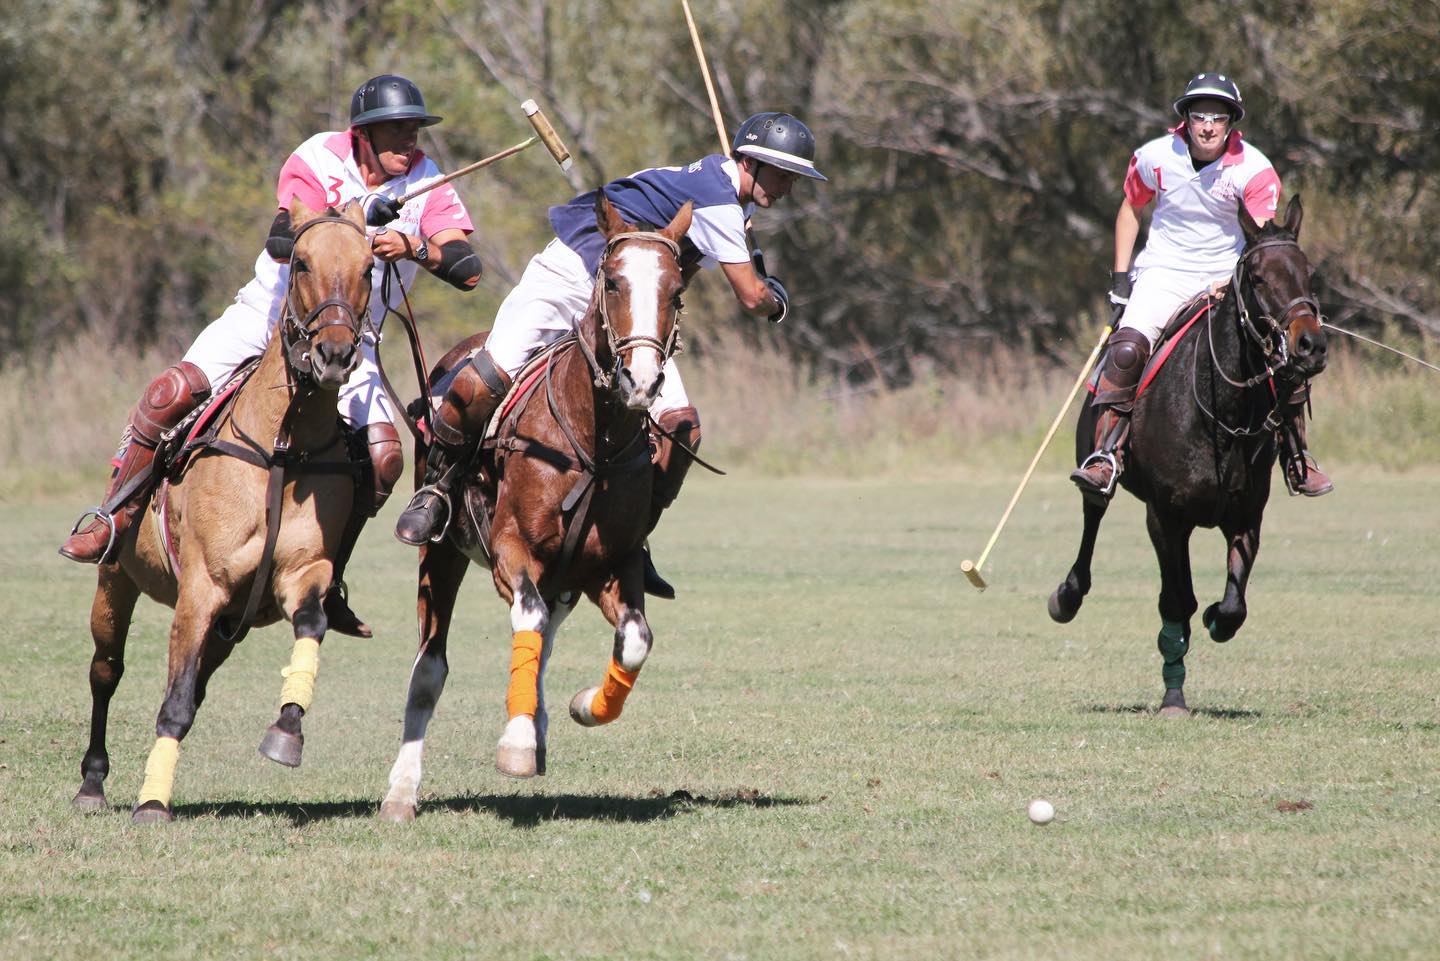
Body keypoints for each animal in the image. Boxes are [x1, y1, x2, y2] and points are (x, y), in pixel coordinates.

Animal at [70, 198, 374, 824]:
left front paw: (287, 730)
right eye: (301, 264)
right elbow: (173, 701)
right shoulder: (201, 588)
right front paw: (152, 802)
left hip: (228, 625)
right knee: (106, 670)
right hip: (117, 579)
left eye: (369, 268)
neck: (282, 447)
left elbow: (311, 623)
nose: (333, 355)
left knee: (195, 683)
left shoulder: (300, 572)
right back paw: (92, 781)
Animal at [377, 198, 691, 824]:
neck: (594, 442)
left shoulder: (613, 564)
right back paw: (402, 791)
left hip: (565, 574)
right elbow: (527, 618)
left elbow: (635, 640)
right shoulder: (511, 549)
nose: (642, 381)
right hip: (443, 553)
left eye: (676, 290)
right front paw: (517, 744)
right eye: (613, 282)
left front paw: (583, 706)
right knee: (429, 666)